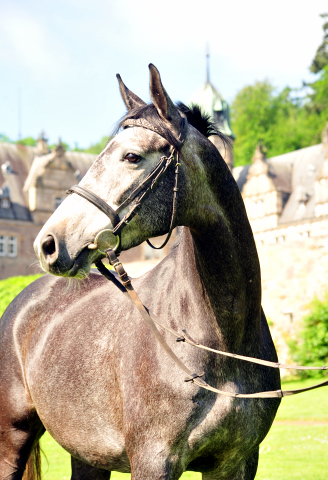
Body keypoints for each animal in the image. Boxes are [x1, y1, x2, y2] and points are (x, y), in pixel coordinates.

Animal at [0, 64, 280, 480]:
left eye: (132, 156)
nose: (48, 243)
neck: (220, 339)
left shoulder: (239, 462)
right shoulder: (153, 460)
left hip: (87, 455)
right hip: (12, 438)